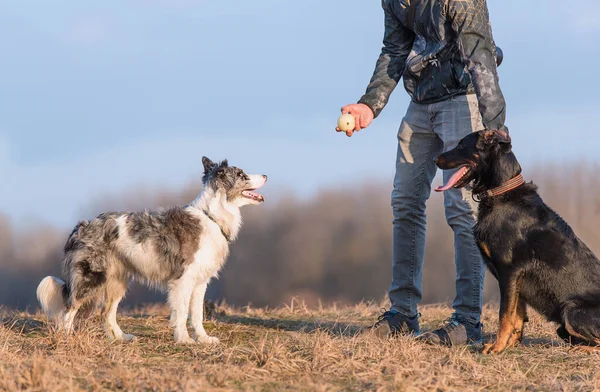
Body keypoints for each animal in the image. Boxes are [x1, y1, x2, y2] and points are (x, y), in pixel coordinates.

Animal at [434, 130, 596, 354]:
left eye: (460, 146)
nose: (435, 159)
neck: (501, 193)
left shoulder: (509, 270)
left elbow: (505, 315)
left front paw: (496, 348)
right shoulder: (515, 279)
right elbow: (516, 314)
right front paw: (510, 345)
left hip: (572, 311)